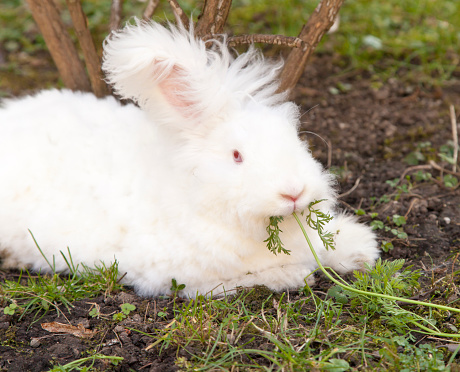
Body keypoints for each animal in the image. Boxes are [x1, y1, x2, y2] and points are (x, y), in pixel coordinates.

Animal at [0, 21, 378, 298]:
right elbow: (244, 280)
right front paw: (293, 276)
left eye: (295, 140)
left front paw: (362, 249)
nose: (294, 192)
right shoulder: (184, 276)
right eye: (237, 156)